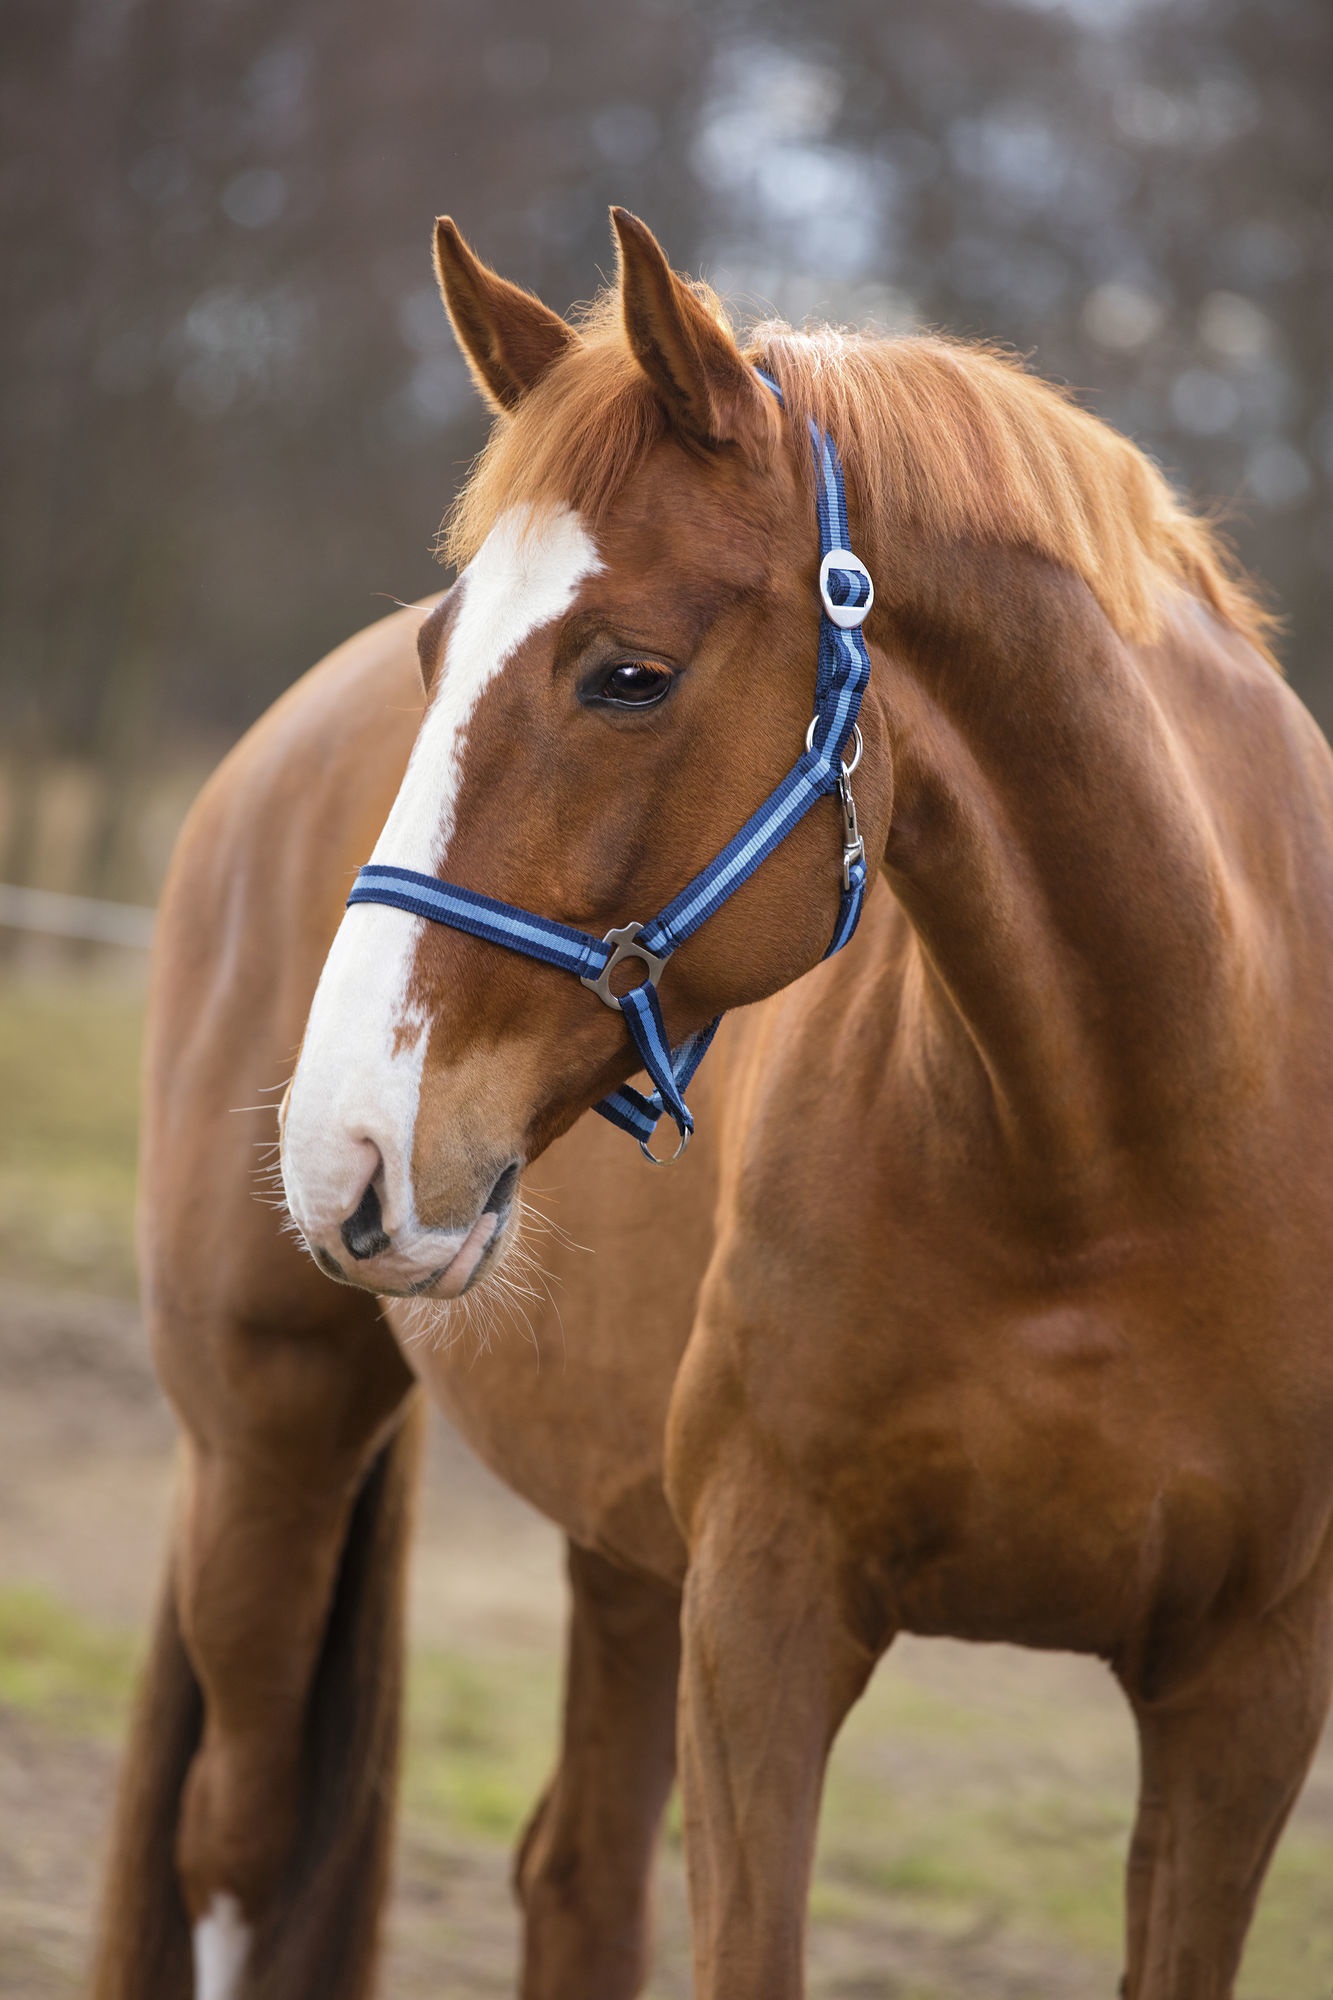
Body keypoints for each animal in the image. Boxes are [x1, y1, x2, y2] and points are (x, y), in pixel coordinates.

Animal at [96, 207, 1328, 2000]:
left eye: (628, 675)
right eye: (437, 652)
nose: (342, 1147)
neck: (1116, 1156)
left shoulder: (1245, 1694)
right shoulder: (764, 1618)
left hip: (617, 1552)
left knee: (573, 1877)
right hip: (268, 1437)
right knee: (233, 1853)